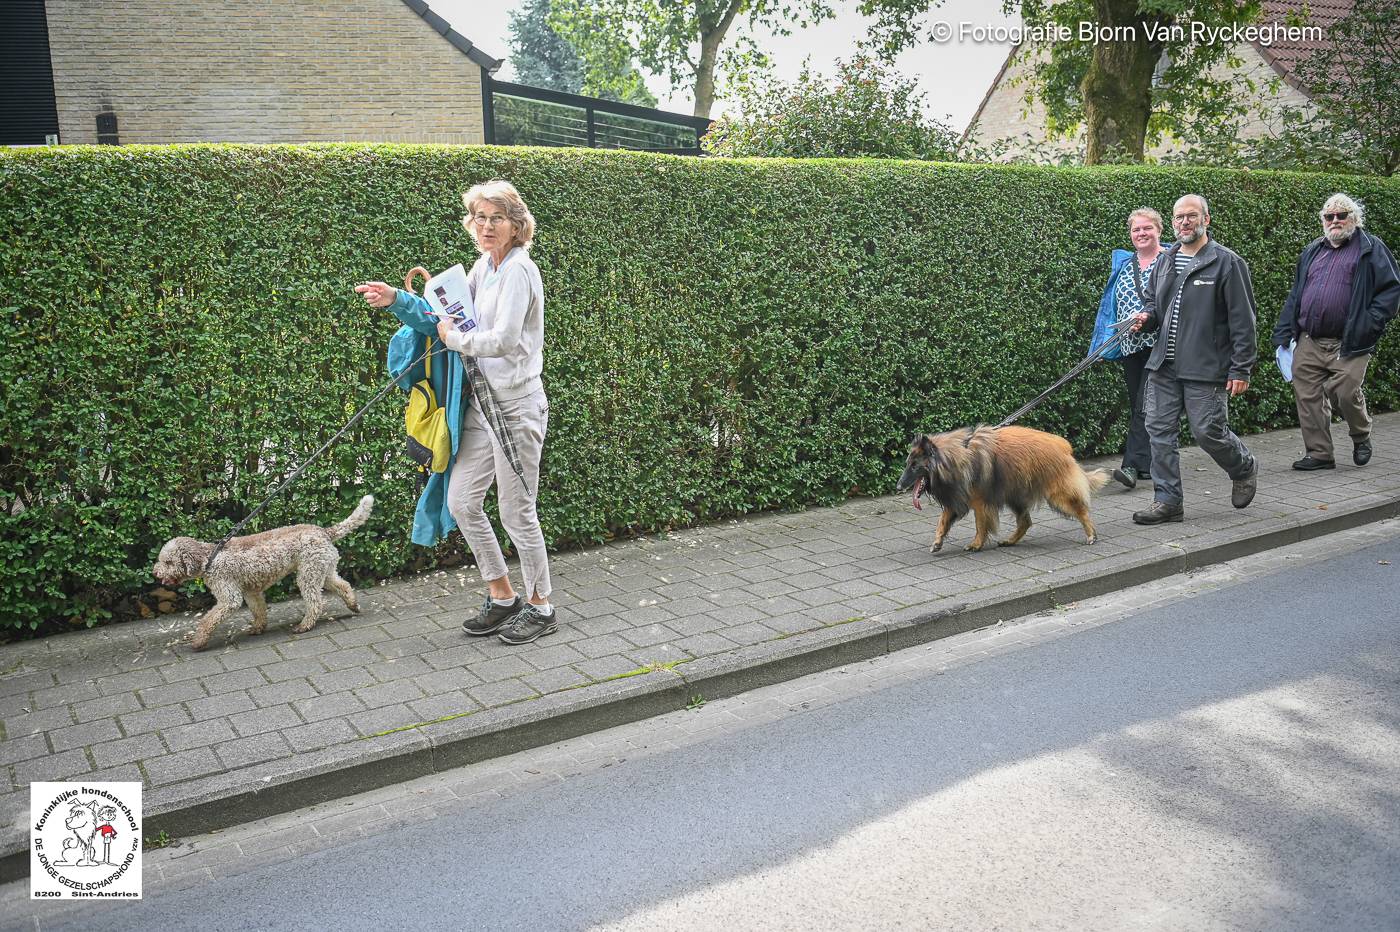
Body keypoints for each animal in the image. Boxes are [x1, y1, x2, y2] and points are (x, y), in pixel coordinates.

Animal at [154, 492, 375, 646]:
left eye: (168, 562)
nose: (156, 573)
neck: (209, 558)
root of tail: (324, 531)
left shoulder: (229, 597)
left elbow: (209, 619)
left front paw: (199, 640)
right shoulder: (251, 592)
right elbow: (258, 611)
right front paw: (258, 628)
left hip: (308, 575)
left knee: (315, 603)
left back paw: (304, 625)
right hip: (323, 570)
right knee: (343, 586)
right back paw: (353, 605)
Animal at [896, 422, 1114, 548]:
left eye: (914, 466)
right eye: (907, 464)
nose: (898, 487)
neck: (955, 457)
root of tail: (1064, 447)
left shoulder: (980, 502)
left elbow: (980, 525)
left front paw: (976, 544)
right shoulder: (957, 497)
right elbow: (942, 522)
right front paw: (937, 541)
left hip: (1057, 496)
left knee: (1081, 511)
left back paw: (1091, 535)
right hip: (1015, 496)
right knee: (1025, 522)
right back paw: (1010, 541)